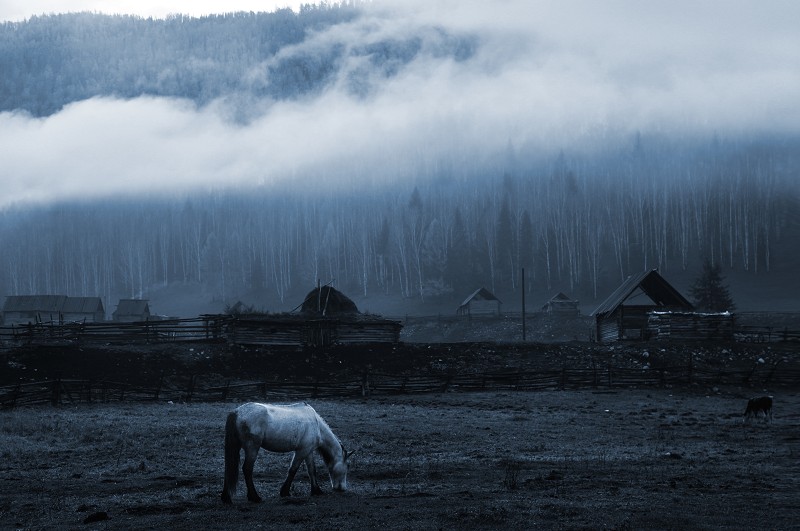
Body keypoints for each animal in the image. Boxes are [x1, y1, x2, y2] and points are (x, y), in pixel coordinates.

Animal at [223, 404, 352, 502]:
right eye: (348, 466)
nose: (342, 488)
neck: (317, 425)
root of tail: (237, 412)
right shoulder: (301, 451)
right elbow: (293, 470)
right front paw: (284, 492)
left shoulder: (308, 451)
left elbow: (312, 470)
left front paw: (316, 490)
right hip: (252, 449)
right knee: (247, 469)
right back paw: (254, 497)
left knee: (229, 468)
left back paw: (226, 497)